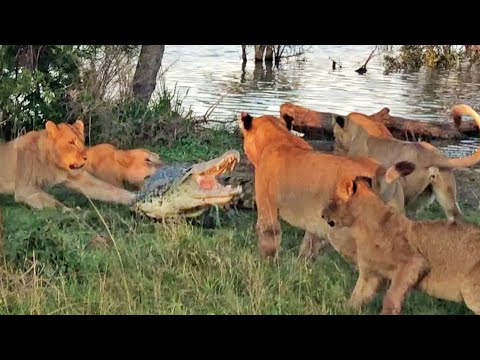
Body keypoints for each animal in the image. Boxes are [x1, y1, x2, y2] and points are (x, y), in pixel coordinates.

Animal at [0, 119, 137, 210]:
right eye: (71, 142)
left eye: (83, 141)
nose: (86, 158)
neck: (52, 163)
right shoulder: (25, 189)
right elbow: (55, 203)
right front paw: (74, 212)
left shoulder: (76, 177)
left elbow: (109, 189)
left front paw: (135, 198)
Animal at [238, 112, 414, 258]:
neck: (278, 138)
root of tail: (382, 174)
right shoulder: (316, 221)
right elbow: (308, 247)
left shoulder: (267, 210)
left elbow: (269, 243)